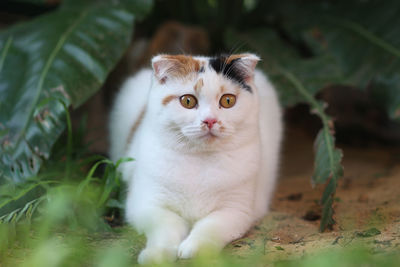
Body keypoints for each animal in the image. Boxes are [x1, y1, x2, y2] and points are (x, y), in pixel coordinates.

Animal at [109, 53, 282, 264]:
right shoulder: (146, 204)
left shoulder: (235, 210)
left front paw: (197, 250)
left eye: (228, 101)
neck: (199, 159)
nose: (210, 120)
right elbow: (164, 228)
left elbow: (210, 228)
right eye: (188, 101)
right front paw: (157, 254)